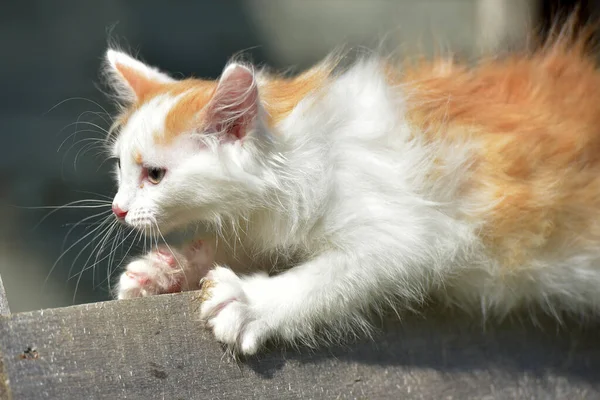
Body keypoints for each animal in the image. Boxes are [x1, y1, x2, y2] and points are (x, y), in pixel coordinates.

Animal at [105, 32, 600, 356]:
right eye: (120, 168)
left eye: (154, 175)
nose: (118, 209)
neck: (303, 155)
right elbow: (234, 245)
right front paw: (165, 269)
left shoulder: (415, 231)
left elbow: (329, 275)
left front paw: (251, 302)